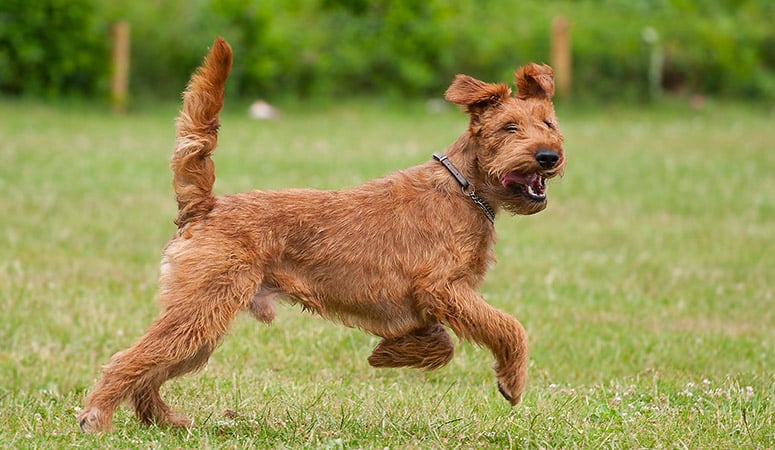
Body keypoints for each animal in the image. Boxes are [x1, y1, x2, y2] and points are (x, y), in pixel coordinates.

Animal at [77, 37, 564, 430]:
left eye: (549, 124)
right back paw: (96, 418)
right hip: (202, 307)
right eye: (509, 128)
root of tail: (205, 206)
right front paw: (511, 381)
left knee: (152, 368)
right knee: (129, 360)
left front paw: (390, 354)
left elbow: (442, 342)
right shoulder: (443, 287)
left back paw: (163, 420)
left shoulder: (433, 299)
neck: (466, 188)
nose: (548, 156)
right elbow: (508, 326)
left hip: (202, 321)